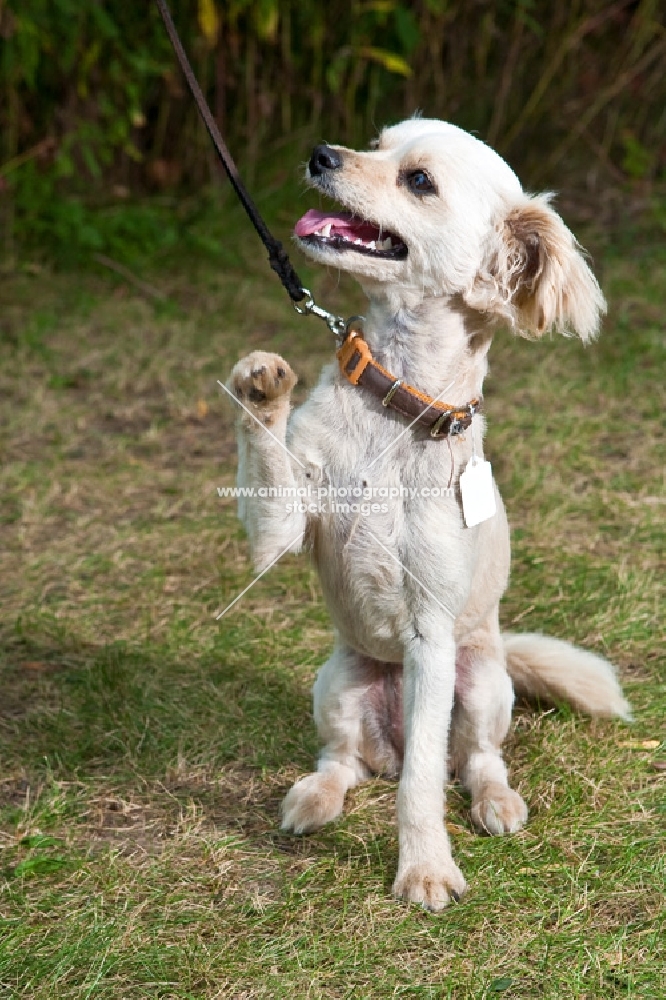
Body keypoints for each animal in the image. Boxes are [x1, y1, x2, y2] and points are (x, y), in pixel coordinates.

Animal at [227, 121, 628, 912]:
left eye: (418, 181)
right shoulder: (278, 532)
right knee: (344, 761)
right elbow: (270, 470)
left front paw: (424, 868)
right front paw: (261, 387)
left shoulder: (432, 638)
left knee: (468, 760)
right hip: (338, 684)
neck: (393, 406)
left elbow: (420, 786)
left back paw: (495, 800)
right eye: (377, 142)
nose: (321, 154)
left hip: (482, 686)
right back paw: (315, 796)